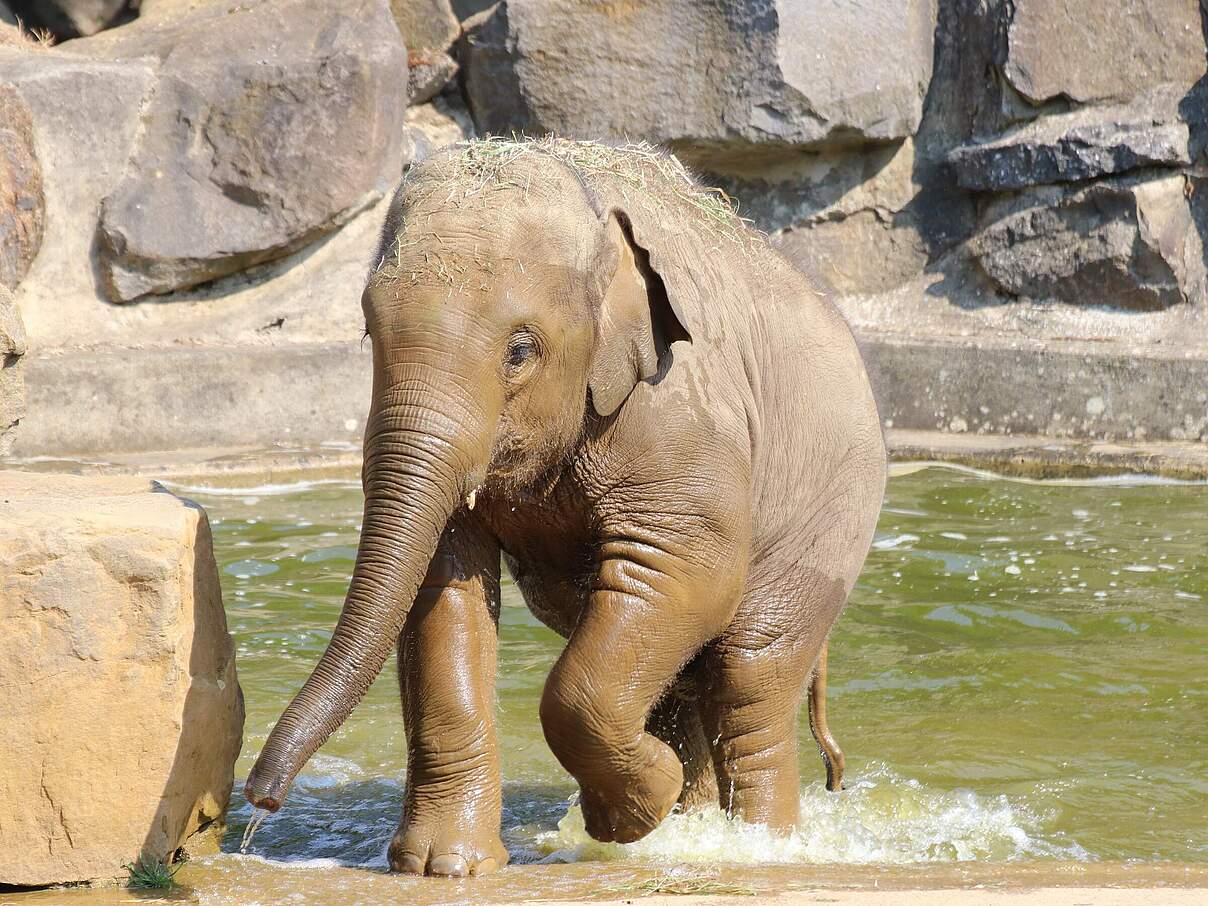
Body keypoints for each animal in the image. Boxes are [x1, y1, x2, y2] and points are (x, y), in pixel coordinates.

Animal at [247, 138, 889, 874]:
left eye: (520, 350)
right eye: (367, 332)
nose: (259, 799)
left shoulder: (680, 411)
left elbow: (681, 571)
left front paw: (626, 814)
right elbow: (441, 588)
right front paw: (445, 867)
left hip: (831, 515)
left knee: (749, 676)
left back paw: (756, 849)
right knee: (688, 684)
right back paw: (687, 825)